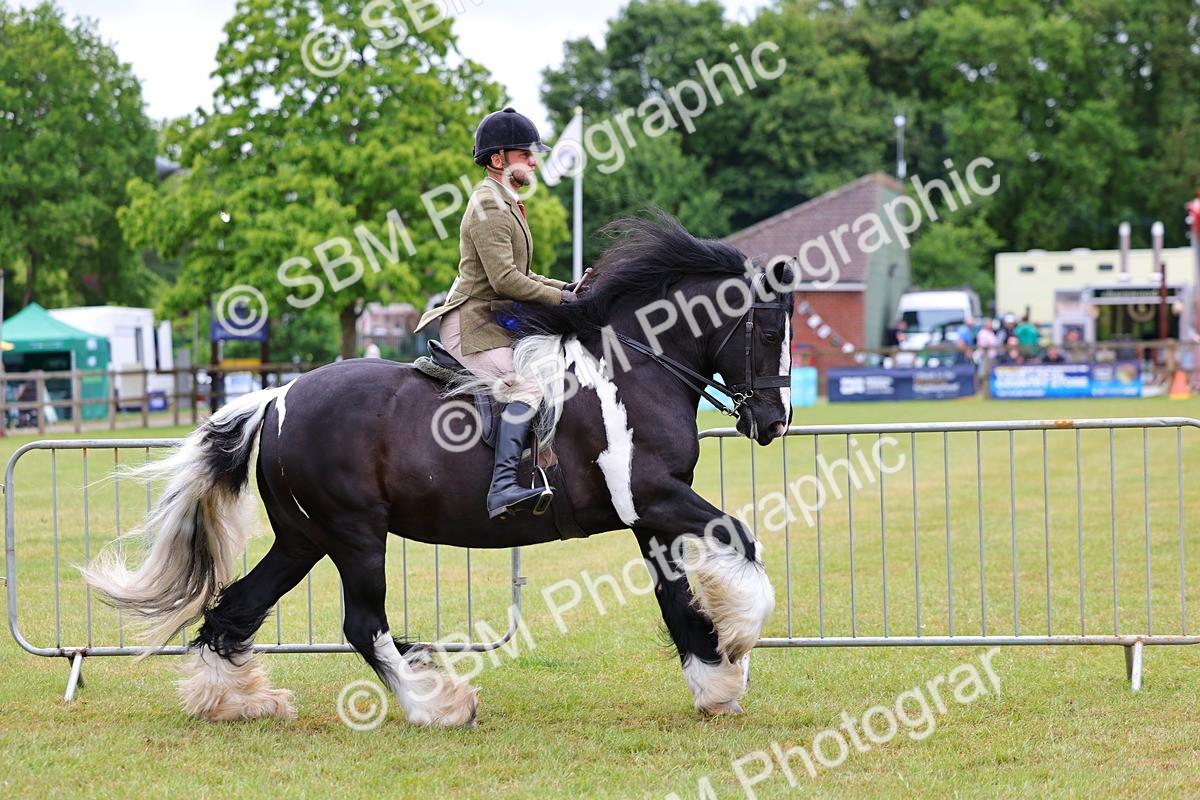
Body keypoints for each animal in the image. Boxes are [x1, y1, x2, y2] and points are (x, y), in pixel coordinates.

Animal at [81, 212, 796, 727]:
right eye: (768, 333)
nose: (773, 422)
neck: (634, 369)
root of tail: (277, 398)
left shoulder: (648, 513)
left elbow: (676, 598)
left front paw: (716, 683)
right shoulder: (655, 496)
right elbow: (741, 539)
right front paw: (739, 640)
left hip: (304, 538)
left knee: (236, 609)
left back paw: (235, 703)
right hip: (355, 535)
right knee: (362, 625)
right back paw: (438, 706)